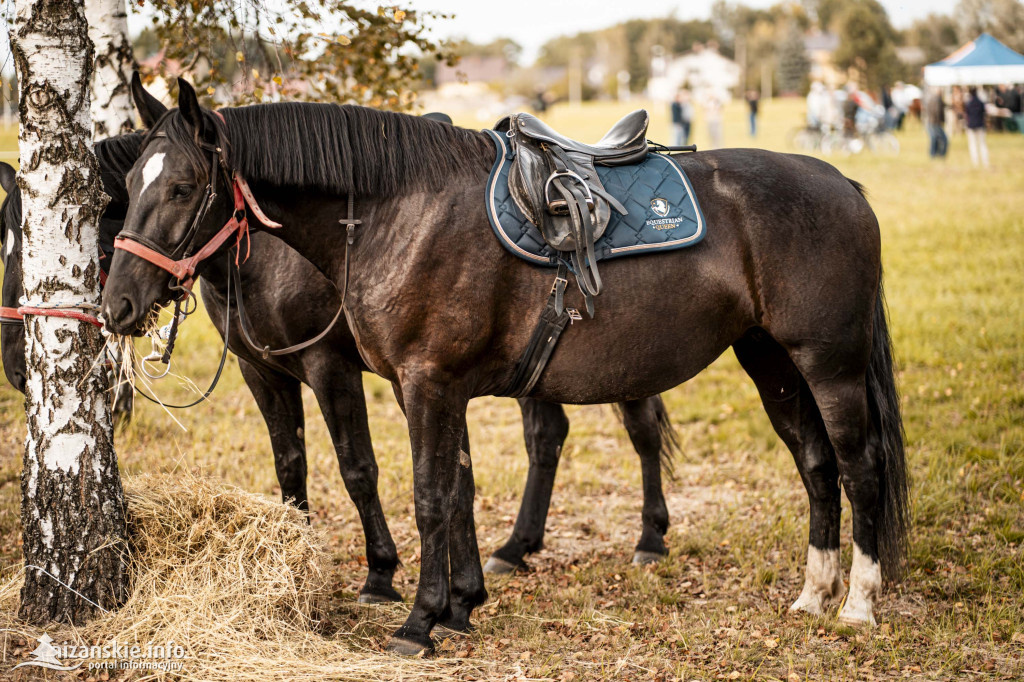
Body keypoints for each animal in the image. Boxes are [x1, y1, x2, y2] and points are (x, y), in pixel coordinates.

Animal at [99, 79, 909, 655]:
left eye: (180, 188)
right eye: (129, 187)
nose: (118, 304)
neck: (398, 212)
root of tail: (843, 185)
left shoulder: (409, 381)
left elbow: (421, 493)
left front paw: (417, 618)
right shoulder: (416, 388)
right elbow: (449, 485)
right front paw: (461, 606)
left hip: (828, 365)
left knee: (857, 464)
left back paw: (856, 603)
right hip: (771, 361)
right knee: (813, 464)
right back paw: (812, 593)